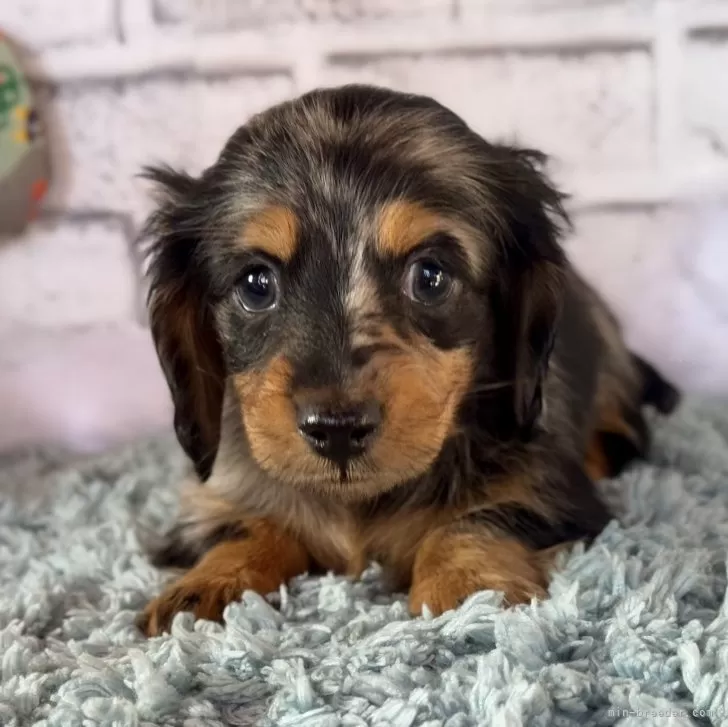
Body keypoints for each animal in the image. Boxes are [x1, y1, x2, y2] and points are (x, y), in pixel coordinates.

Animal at [138, 85, 684, 636]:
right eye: (255, 284)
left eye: (430, 277)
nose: (337, 429)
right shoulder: (220, 489)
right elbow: (244, 528)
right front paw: (208, 587)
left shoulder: (548, 488)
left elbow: (475, 519)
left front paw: (468, 590)